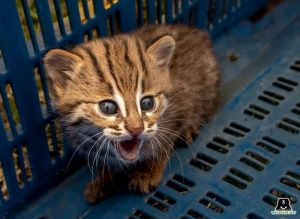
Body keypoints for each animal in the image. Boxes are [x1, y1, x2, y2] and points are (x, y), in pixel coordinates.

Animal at [42, 24, 220, 203]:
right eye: (107, 108)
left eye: (147, 103)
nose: (136, 129)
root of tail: (196, 31)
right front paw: (104, 180)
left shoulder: (178, 110)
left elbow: (162, 146)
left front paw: (147, 172)